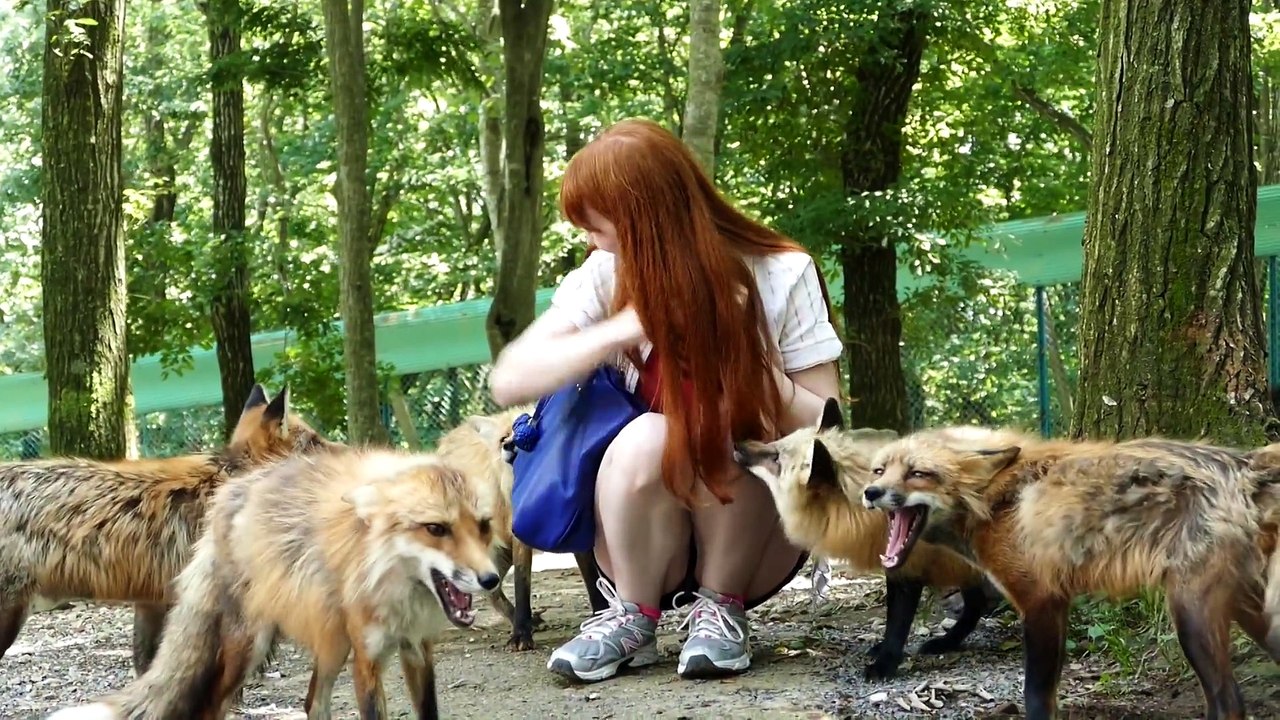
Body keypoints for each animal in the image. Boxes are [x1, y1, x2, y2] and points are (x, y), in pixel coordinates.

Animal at [47, 445, 503, 720]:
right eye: (436, 529)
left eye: (482, 526)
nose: (491, 579)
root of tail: (231, 494)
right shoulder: (368, 659)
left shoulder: (418, 651)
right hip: (251, 646)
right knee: (212, 706)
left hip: (331, 642)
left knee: (312, 703)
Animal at [731, 398, 995, 680]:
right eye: (778, 442)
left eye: (776, 458)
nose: (737, 443)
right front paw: (883, 650)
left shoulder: (909, 569)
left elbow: (897, 623)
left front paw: (885, 663)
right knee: (977, 604)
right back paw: (948, 641)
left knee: (978, 604)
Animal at [860, 425, 1280, 720]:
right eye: (879, 470)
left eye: (917, 473)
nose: (870, 492)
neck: (996, 501)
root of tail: (1246, 463)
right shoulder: (1057, 601)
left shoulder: (1039, 601)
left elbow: (1036, 697)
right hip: (1246, 611)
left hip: (1191, 616)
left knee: (1229, 703)